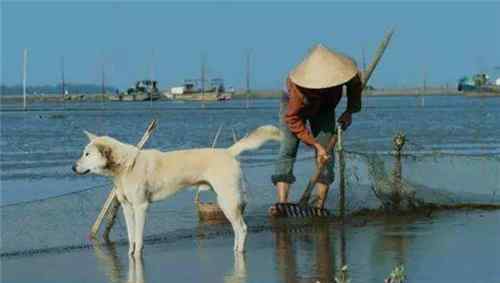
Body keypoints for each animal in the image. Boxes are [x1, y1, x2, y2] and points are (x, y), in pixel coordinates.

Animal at [73, 125, 282, 258]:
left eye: (87, 154)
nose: (73, 168)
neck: (125, 166)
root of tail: (228, 152)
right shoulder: (126, 207)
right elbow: (132, 236)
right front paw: (130, 254)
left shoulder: (141, 207)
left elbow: (138, 237)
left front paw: (137, 255)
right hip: (226, 203)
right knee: (238, 229)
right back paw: (235, 250)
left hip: (227, 202)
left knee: (242, 228)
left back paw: (239, 252)